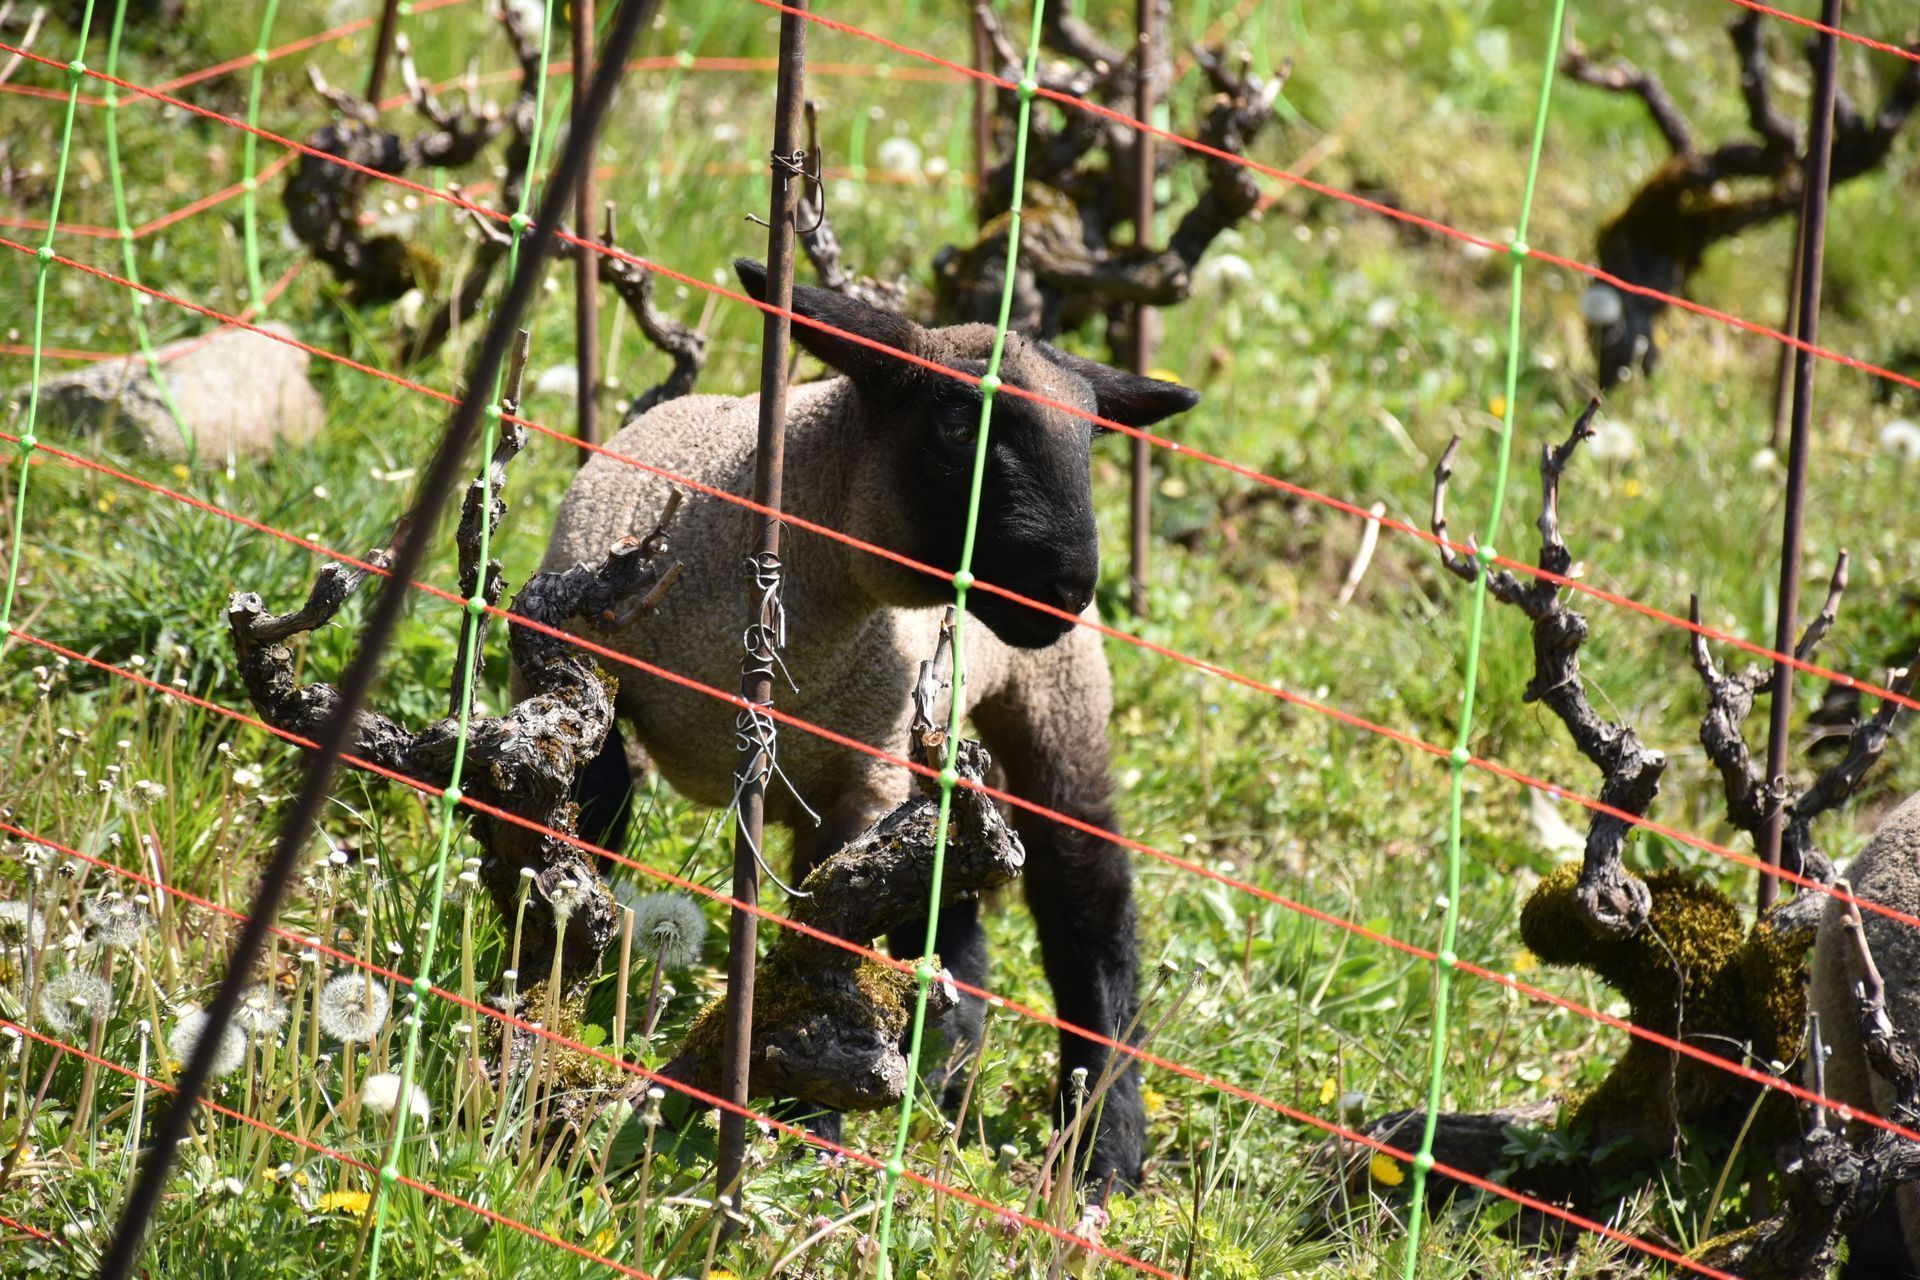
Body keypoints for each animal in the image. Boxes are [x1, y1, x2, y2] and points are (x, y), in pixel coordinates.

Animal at [520, 259, 1201, 1186]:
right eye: (957, 423)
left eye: (1088, 444)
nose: (1067, 590)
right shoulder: (578, 680)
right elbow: (588, 829)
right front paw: (555, 1001)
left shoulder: (861, 780)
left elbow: (829, 948)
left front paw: (812, 1124)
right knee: (953, 917)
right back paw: (945, 1077)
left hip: (1055, 703)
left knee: (1087, 908)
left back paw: (1103, 1151)